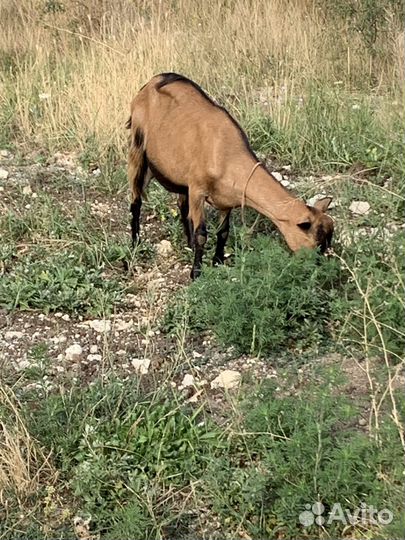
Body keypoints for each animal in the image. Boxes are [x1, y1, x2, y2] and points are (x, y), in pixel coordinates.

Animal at [126, 73, 332, 278]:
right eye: (317, 243)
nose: (322, 268)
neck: (227, 155)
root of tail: (151, 82)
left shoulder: (225, 199)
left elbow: (223, 231)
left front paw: (217, 261)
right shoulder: (198, 189)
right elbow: (202, 234)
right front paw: (196, 273)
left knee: (181, 204)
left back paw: (188, 244)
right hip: (138, 149)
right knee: (136, 199)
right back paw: (135, 242)